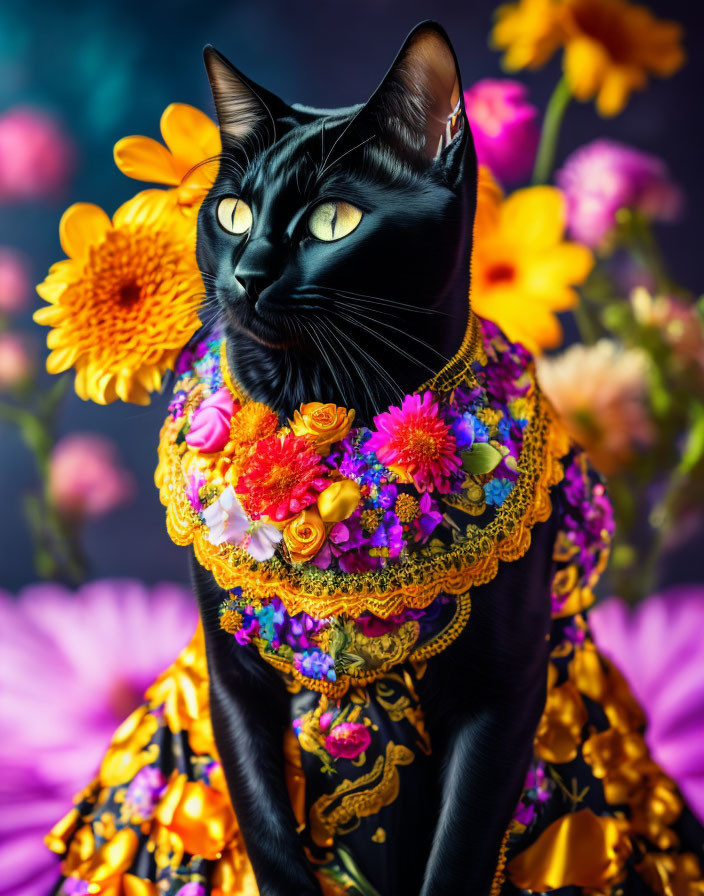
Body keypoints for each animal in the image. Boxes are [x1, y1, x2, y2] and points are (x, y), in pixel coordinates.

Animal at [192, 22, 556, 896]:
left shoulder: (505, 694)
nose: (247, 272)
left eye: (333, 221)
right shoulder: (232, 679)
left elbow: (458, 853)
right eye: (232, 211)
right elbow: (267, 832)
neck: (329, 411)